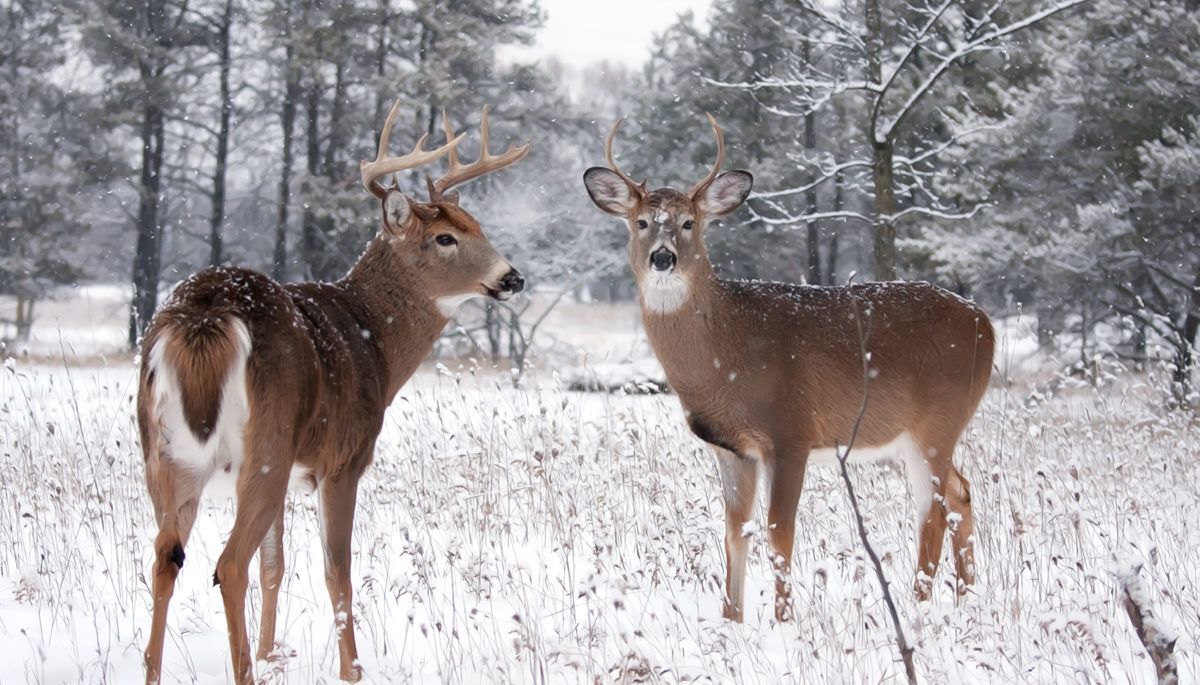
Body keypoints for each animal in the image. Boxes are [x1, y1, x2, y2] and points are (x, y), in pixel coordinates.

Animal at [137, 99, 530, 684]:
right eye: (445, 238)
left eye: (475, 224)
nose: (512, 277)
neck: (377, 344)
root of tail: (205, 317)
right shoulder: (343, 457)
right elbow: (335, 570)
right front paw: (352, 669)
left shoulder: (294, 468)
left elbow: (276, 565)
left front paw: (274, 653)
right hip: (265, 442)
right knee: (228, 564)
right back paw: (243, 672)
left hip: (168, 453)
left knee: (167, 554)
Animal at [582, 115, 994, 623]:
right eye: (640, 222)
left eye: (688, 222)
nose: (663, 257)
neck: (727, 354)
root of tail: (986, 323)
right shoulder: (731, 448)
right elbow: (735, 532)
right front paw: (732, 620)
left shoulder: (791, 432)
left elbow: (780, 533)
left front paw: (784, 620)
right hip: (922, 433)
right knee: (961, 491)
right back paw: (966, 596)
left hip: (937, 423)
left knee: (932, 509)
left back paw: (917, 606)